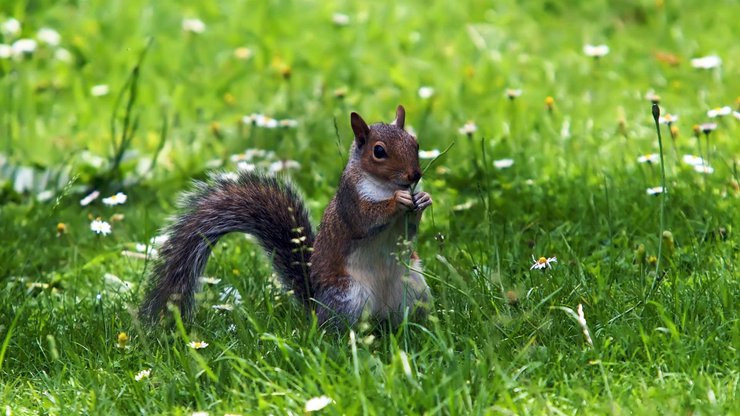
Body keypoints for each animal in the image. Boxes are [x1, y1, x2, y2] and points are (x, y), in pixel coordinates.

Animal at [137, 105, 434, 330]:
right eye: (379, 151)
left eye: (416, 143)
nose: (415, 175)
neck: (385, 186)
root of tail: (316, 305)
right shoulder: (350, 202)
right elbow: (365, 220)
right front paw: (398, 201)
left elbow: (408, 231)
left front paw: (422, 199)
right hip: (349, 297)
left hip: (414, 287)